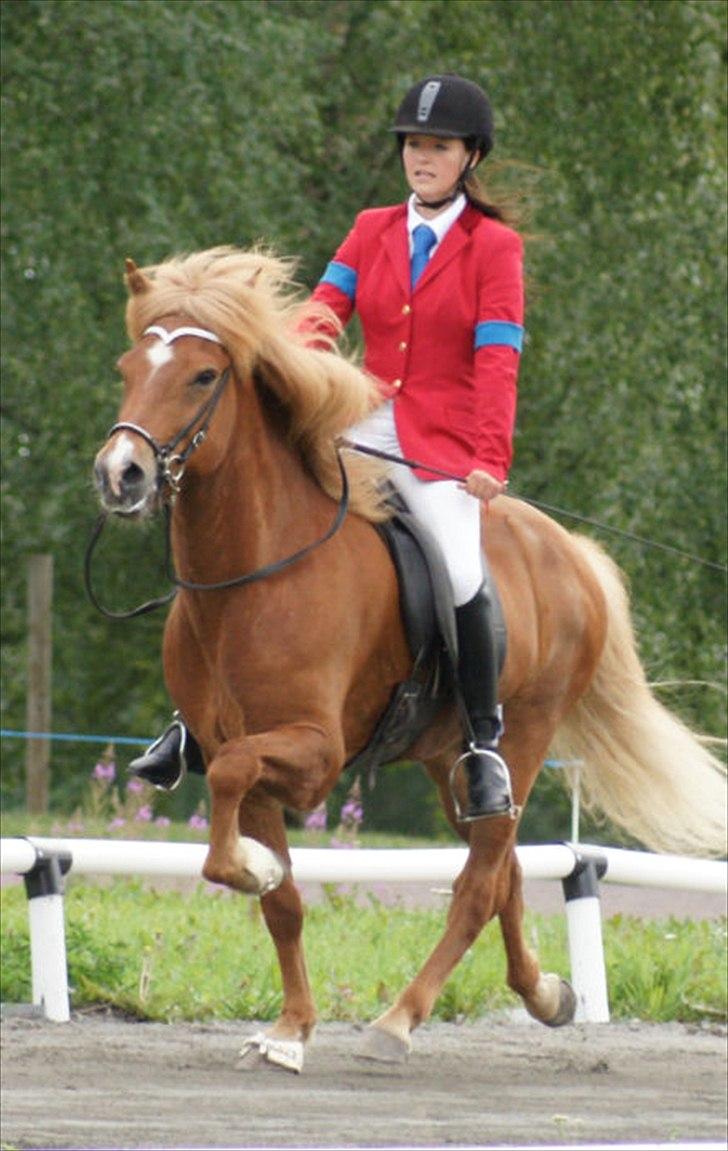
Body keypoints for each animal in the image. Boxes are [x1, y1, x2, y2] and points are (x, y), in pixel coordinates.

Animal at [93, 247, 723, 1072]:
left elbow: (235, 796)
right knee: (504, 865)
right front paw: (289, 1028)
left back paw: (400, 1019)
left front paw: (253, 871)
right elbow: (281, 899)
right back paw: (546, 994)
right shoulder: (246, 748)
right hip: (449, 757)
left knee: (480, 882)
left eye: (202, 375)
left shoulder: (312, 752)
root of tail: (571, 552)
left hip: (522, 738)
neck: (252, 573)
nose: (120, 474)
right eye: (129, 367)